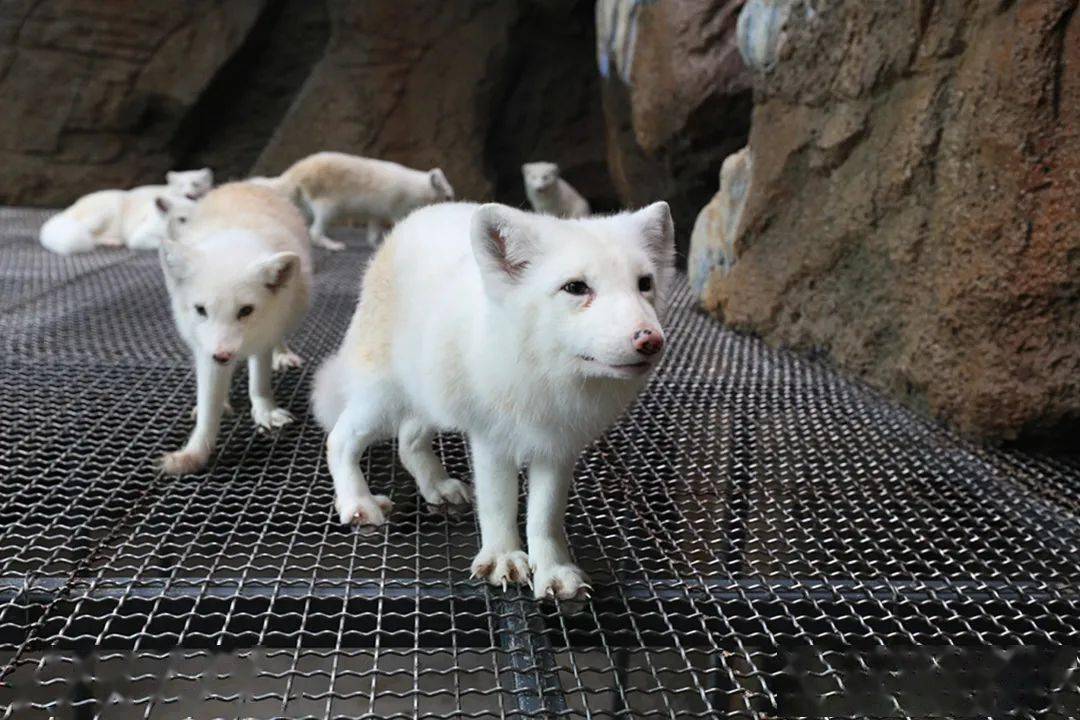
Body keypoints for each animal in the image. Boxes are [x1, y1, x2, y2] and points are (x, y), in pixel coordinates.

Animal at [38, 169, 210, 255]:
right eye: (182, 220)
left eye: (196, 184)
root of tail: (68, 211)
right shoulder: (140, 238)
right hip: (104, 213)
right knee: (89, 235)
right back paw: (111, 242)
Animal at [157, 183, 315, 479]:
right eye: (200, 310)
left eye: (245, 310)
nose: (222, 356)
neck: (232, 241)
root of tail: (244, 184)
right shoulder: (206, 350)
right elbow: (209, 407)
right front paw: (194, 454)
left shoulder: (264, 336)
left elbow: (259, 383)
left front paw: (265, 411)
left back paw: (282, 355)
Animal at [259, 152, 457, 250]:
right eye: (449, 197)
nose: (454, 204)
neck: (418, 188)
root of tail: (294, 172)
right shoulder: (397, 208)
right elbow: (398, 221)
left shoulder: (376, 213)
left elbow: (373, 232)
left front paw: (376, 244)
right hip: (329, 206)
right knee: (315, 231)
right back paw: (334, 245)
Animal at [308, 199, 669, 600]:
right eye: (575, 287)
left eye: (644, 284)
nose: (650, 340)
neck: (546, 377)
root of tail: (409, 223)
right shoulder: (492, 438)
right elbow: (499, 504)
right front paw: (503, 558)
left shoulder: (557, 447)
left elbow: (545, 517)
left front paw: (554, 570)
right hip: (383, 399)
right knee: (339, 440)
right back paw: (357, 502)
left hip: (429, 397)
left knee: (408, 442)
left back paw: (437, 485)